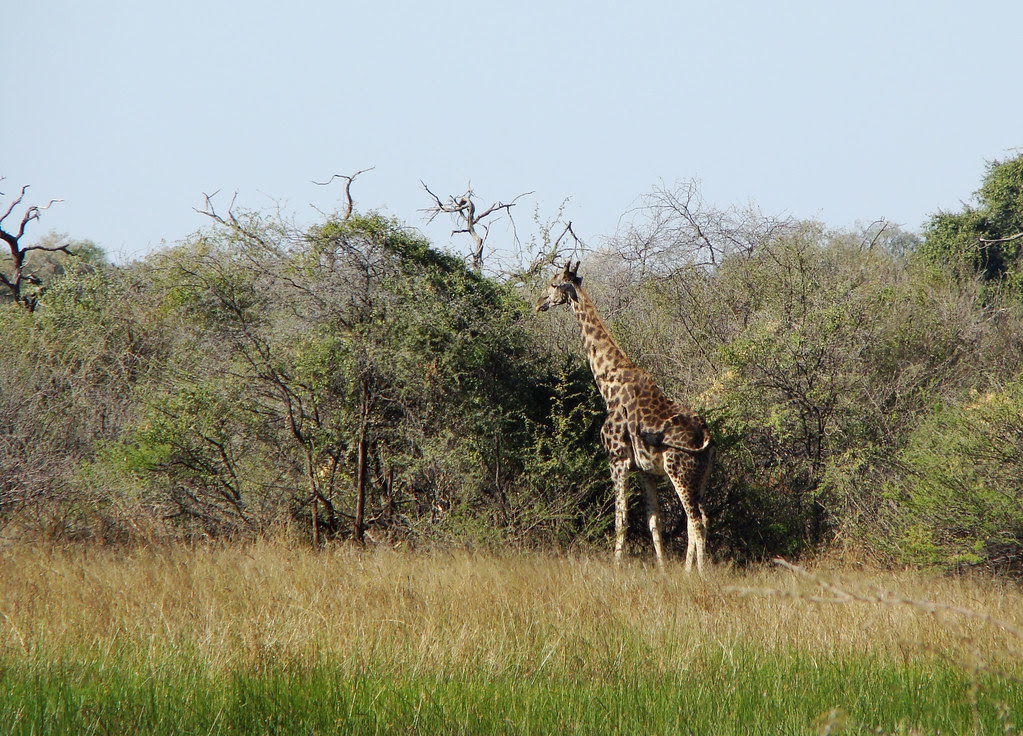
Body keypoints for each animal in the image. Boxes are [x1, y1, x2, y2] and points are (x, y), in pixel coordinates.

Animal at [531, 262, 716, 573]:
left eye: (554, 284)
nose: (538, 303)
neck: (608, 383)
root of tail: (705, 437)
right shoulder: (644, 470)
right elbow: (653, 521)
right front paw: (662, 569)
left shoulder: (617, 459)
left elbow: (621, 519)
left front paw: (617, 566)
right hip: (700, 477)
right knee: (700, 518)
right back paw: (688, 569)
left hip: (680, 470)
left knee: (696, 521)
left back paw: (698, 574)